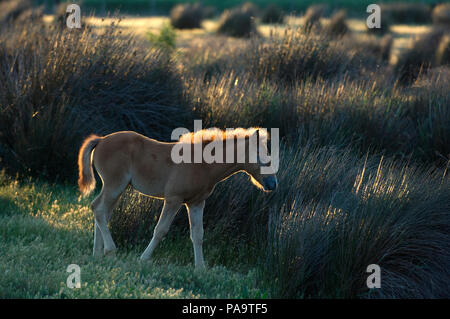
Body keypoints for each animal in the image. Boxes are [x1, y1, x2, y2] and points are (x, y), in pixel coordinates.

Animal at [78, 127, 278, 270]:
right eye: (259, 156)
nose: (273, 183)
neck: (202, 164)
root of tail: (101, 140)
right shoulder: (173, 200)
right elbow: (160, 230)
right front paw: (144, 258)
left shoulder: (197, 203)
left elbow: (197, 234)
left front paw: (200, 269)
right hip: (115, 185)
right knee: (99, 209)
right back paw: (110, 250)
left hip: (117, 188)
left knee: (101, 211)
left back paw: (98, 253)